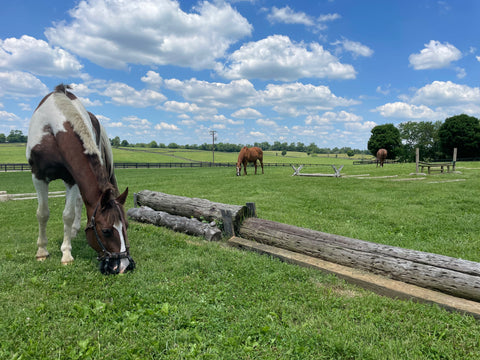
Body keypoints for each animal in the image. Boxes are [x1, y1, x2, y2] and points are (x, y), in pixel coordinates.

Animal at [26, 84, 135, 274]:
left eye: (126, 226)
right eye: (106, 231)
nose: (123, 265)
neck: (54, 128)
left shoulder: (72, 179)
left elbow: (68, 215)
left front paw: (66, 253)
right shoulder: (38, 176)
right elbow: (42, 213)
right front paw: (42, 251)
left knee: (77, 203)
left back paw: (73, 231)